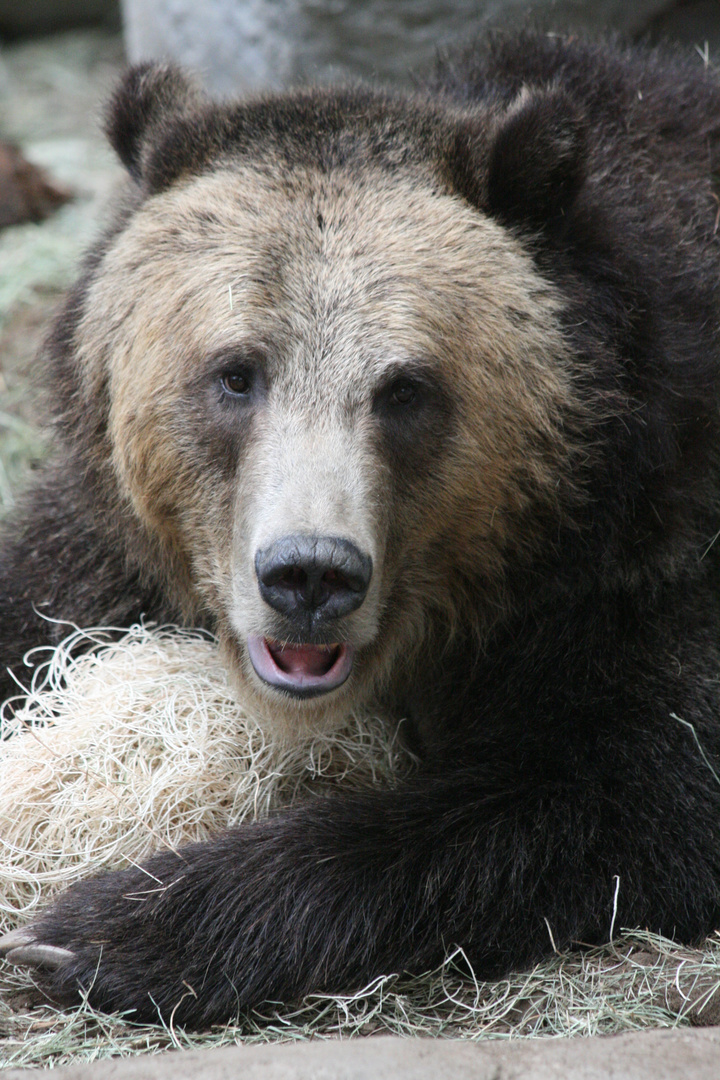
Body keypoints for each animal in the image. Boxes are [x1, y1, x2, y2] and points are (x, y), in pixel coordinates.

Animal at [0, 31, 720, 1028]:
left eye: (405, 389)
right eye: (236, 374)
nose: (310, 575)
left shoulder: (645, 561)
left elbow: (620, 792)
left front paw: (109, 926)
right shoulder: (104, 544)